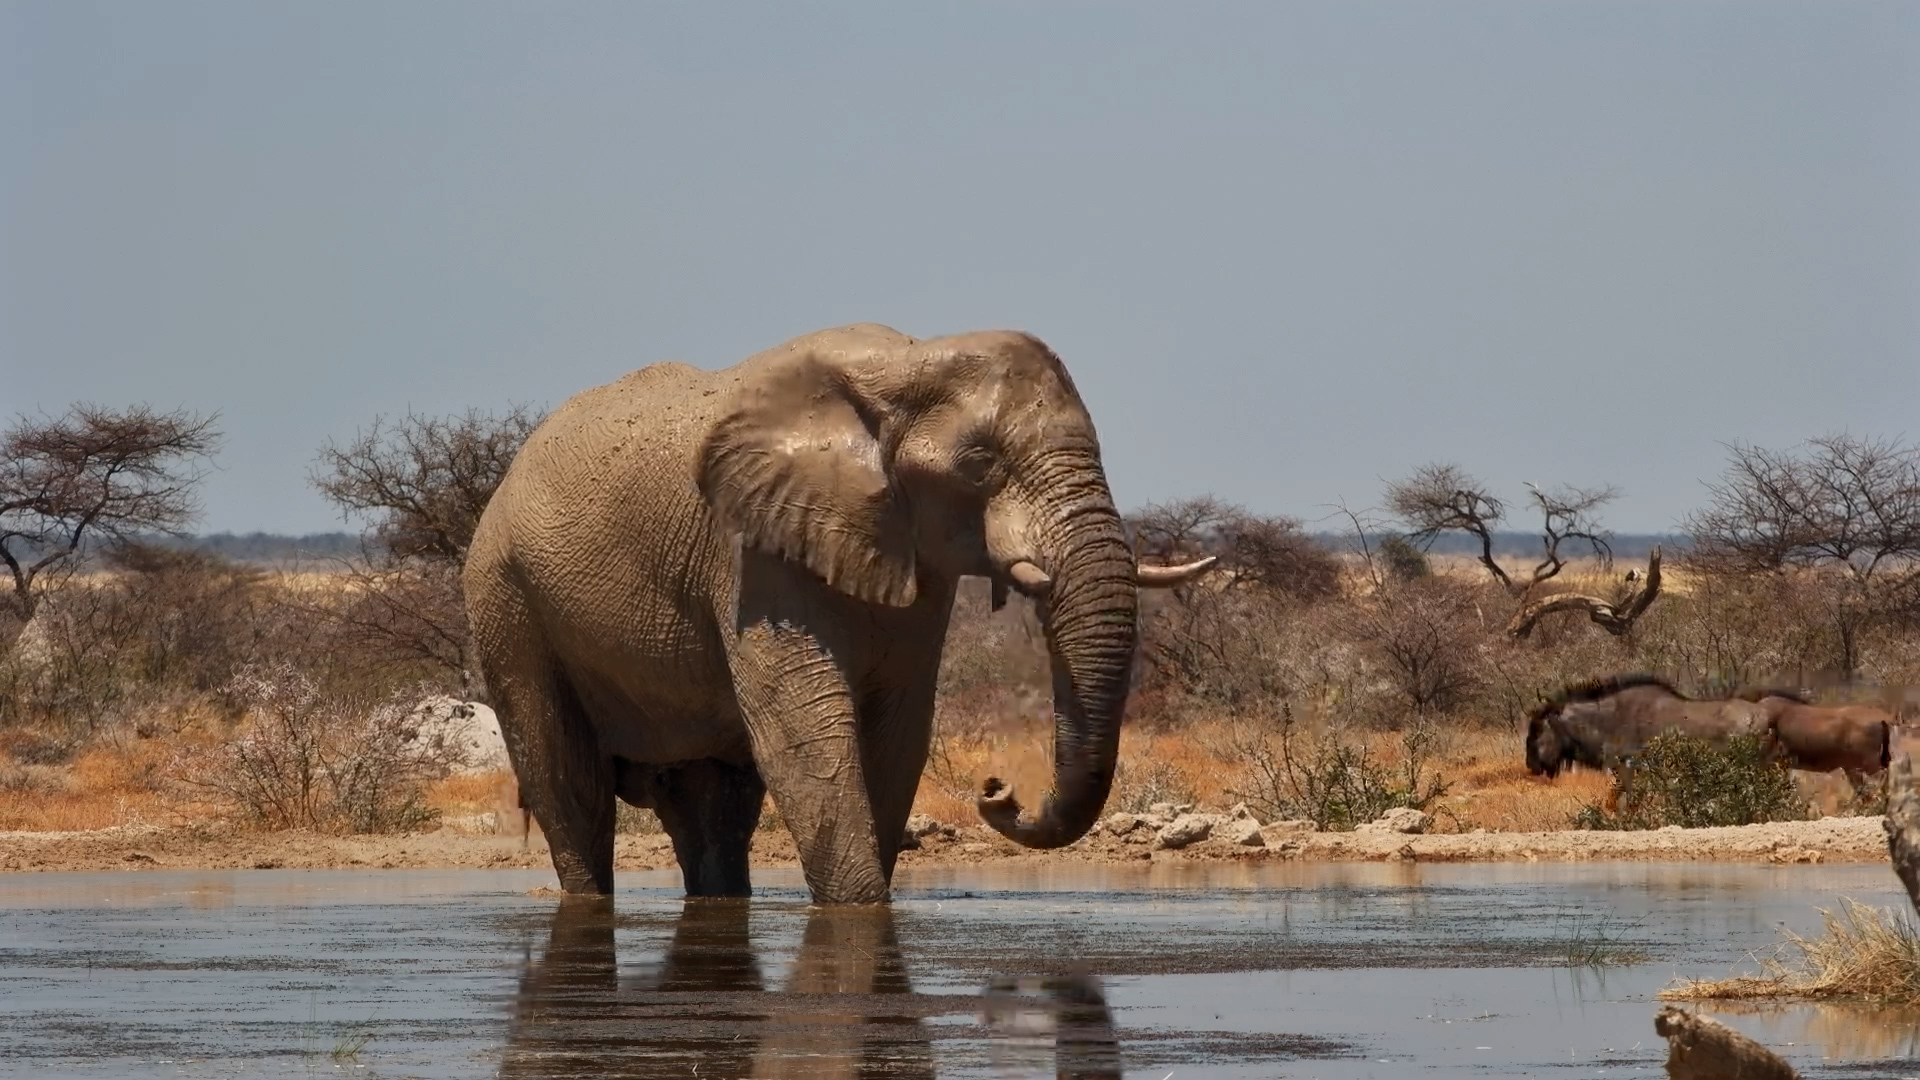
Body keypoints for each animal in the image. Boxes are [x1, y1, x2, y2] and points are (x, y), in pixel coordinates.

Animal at [464, 324, 1215, 903]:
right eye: (979, 462)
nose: (998, 791)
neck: (908, 363)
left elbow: (899, 733)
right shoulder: (752, 553)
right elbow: (805, 735)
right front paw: (858, 910)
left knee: (713, 805)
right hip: (505, 598)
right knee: (570, 784)